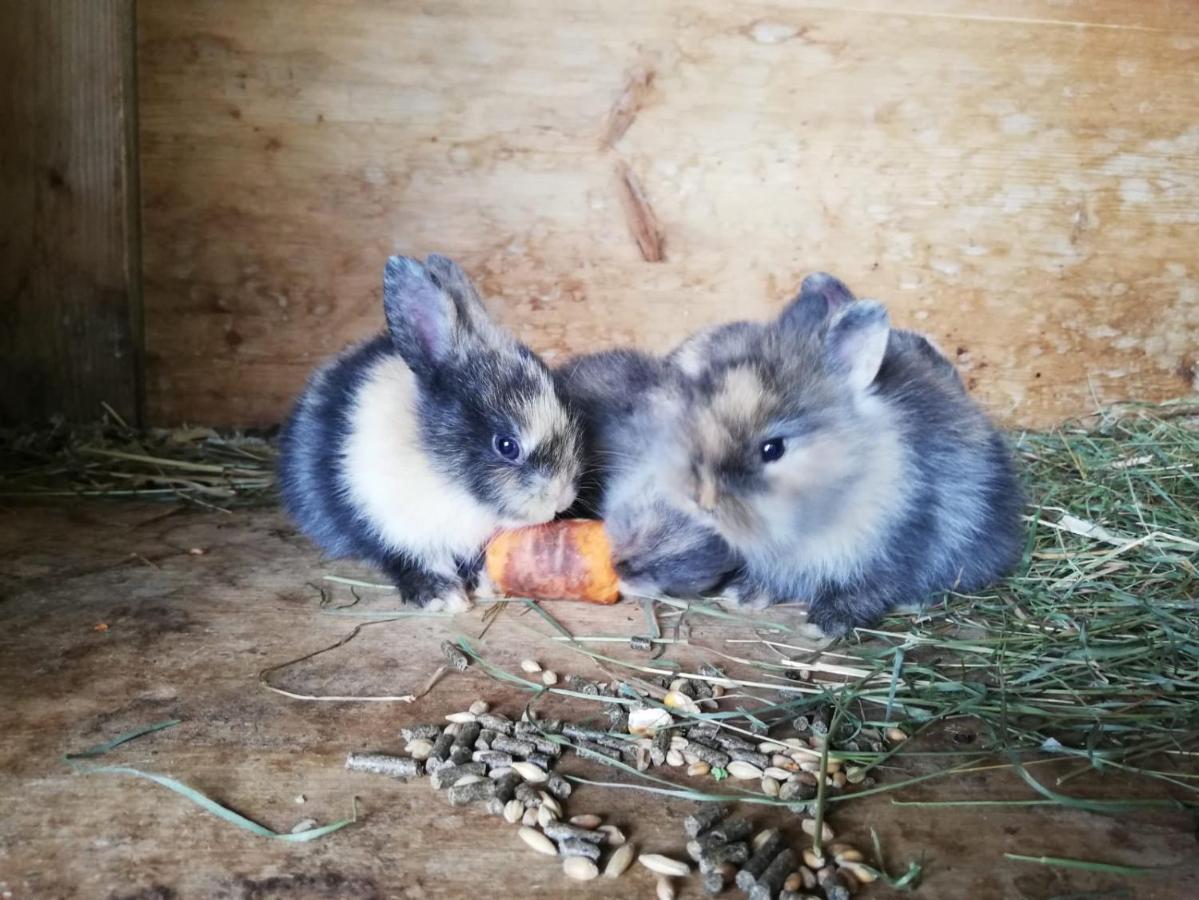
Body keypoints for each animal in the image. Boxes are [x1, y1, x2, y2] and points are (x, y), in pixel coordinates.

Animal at [280, 251, 580, 613]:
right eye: (507, 445)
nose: (561, 500)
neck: (452, 485)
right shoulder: (392, 528)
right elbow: (412, 561)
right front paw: (444, 598)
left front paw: (486, 585)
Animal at [657, 274, 1021, 632]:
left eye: (773, 449)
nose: (703, 502)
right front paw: (744, 595)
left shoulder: (895, 550)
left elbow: (867, 589)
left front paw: (824, 623)